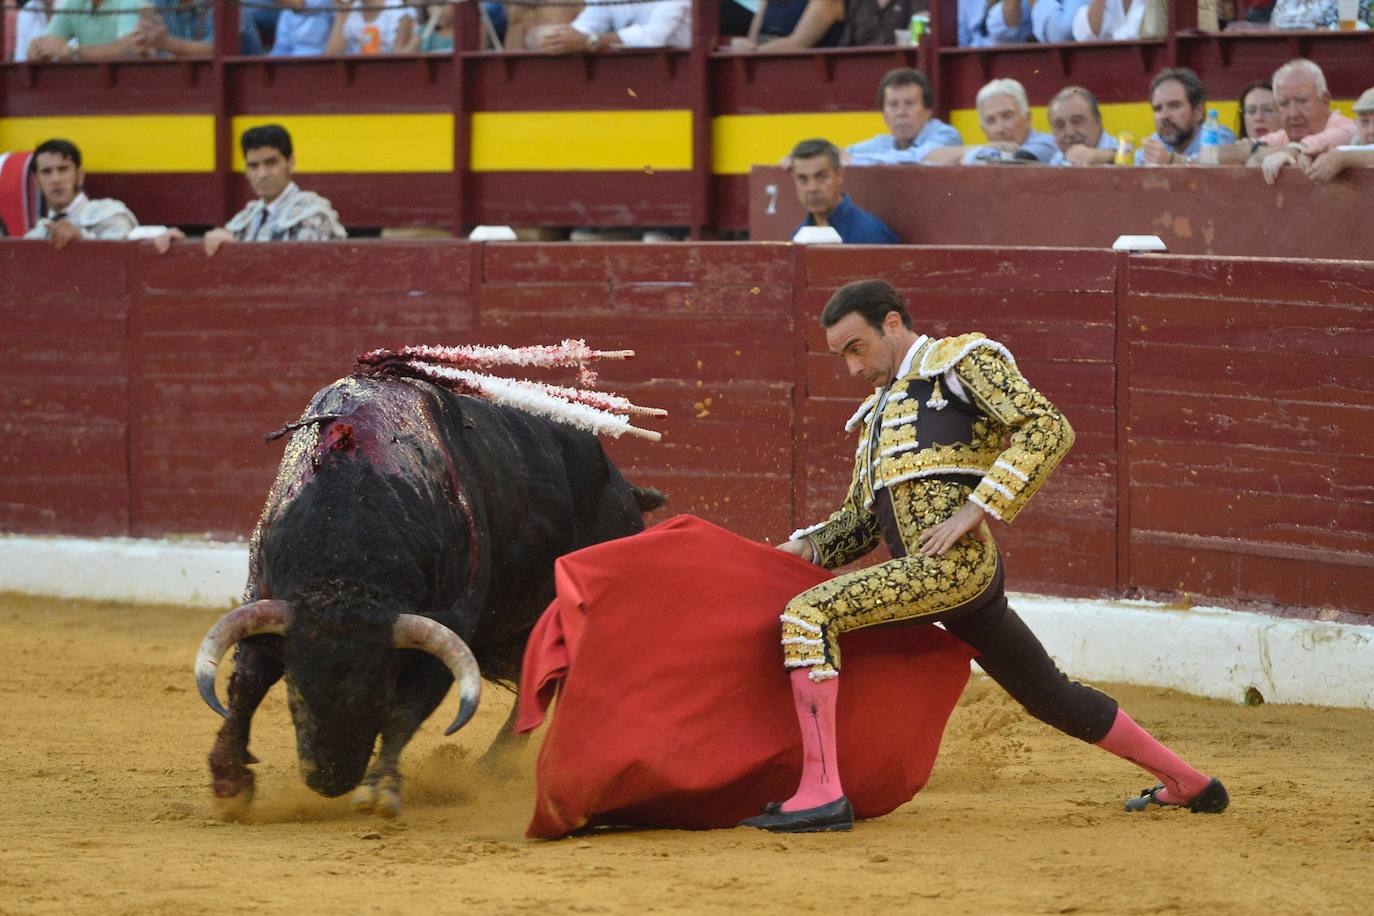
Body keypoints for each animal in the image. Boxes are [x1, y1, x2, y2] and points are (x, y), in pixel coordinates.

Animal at [196, 368, 662, 818]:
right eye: (295, 694)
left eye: (382, 692)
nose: (330, 781)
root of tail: (626, 490)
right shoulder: (266, 602)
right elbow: (247, 685)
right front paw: (230, 784)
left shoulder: (448, 631)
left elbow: (407, 711)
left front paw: (380, 789)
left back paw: (500, 768)